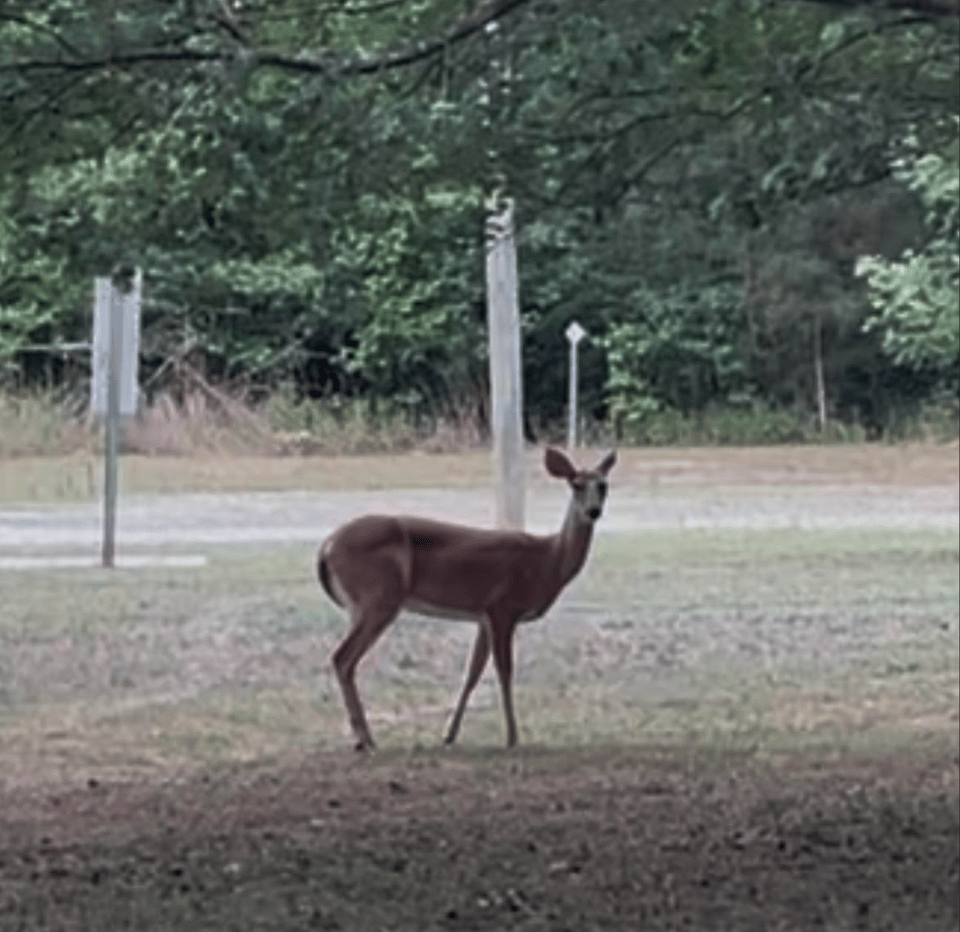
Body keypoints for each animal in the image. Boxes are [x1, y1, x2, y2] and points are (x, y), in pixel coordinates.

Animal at [316, 447, 616, 750]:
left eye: (604, 485)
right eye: (576, 485)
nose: (593, 511)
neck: (548, 560)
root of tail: (327, 546)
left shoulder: (483, 616)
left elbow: (472, 673)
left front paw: (449, 735)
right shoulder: (502, 608)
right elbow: (504, 670)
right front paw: (512, 737)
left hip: (361, 605)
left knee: (344, 659)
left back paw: (360, 739)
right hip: (379, 598)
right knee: (342, 658)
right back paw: (367, 739)